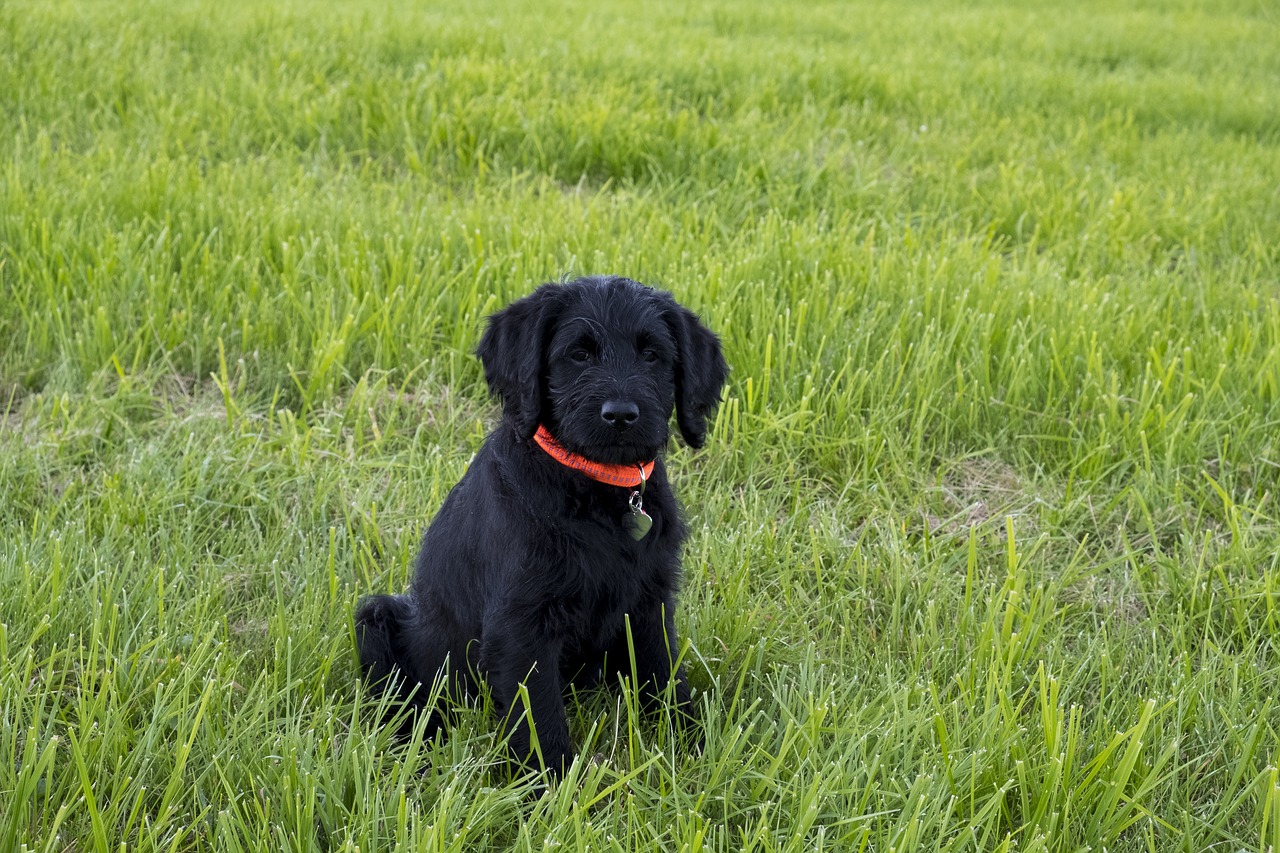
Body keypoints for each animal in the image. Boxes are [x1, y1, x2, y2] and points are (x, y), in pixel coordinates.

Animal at [355, 275, 727, 773]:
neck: (594, 489)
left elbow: (664, 673)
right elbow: (540, 714)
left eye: (652, 354)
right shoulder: (521, 627)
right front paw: (553, 782)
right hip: (379, 619)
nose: (621, 415)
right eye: (579, 354)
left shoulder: (649, 604)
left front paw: (694, 748)